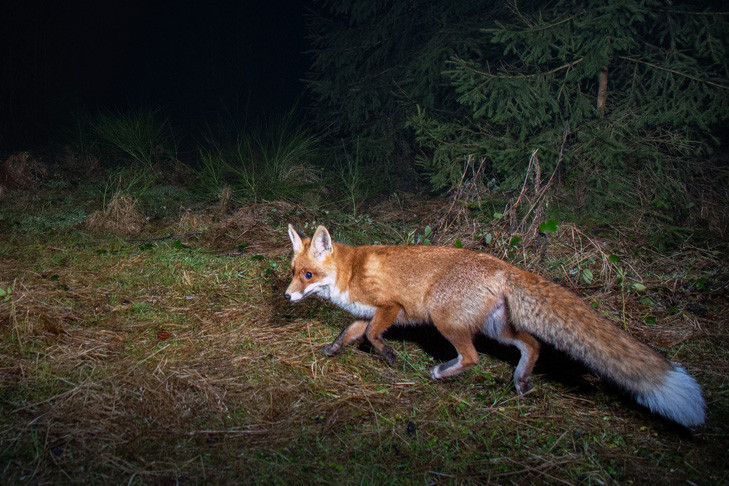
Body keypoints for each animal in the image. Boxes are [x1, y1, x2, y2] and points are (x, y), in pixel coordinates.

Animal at [284, 224, 704, 426]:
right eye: (291, 272)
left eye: (308, 275)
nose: (287, 297)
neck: (349, 273)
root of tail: (504, 265)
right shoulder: (365, 313)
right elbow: (349, 334)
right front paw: (332, 350)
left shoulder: (391, 307)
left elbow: (372, 336)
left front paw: (388, 355)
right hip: (497, 328)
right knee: (532, 344)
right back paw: (520, 381)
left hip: (445, 321)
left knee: (472, 358)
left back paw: (443, 372)